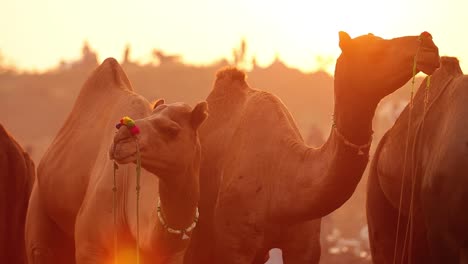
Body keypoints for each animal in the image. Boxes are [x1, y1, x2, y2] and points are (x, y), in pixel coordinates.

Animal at [24, 58, 207, 264]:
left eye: (172, 130)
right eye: (149, 117)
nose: (120, 138)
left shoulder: (172, 256)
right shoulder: (90, 247)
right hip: (38, 203)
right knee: (39, 249)